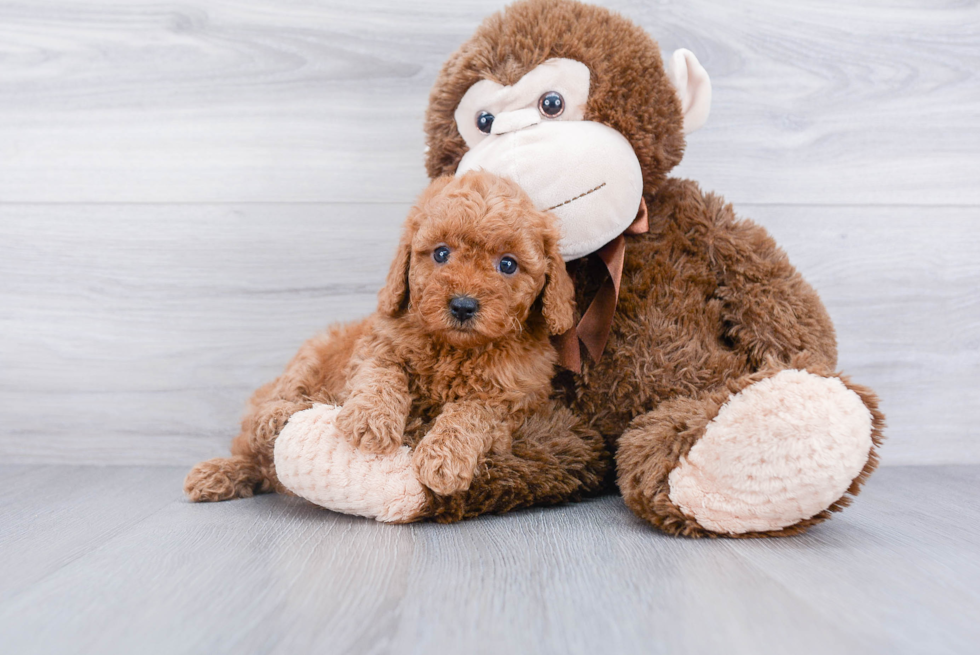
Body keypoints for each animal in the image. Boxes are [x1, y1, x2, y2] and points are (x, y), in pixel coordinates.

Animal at [334, 172, 576, 494]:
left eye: (508, 264)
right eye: (441, 253)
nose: (463, 306)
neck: (455, 349)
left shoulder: (513, 398)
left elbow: (470, 413)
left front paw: (444, 458)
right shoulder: (379, 344)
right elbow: (382, 373)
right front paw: (370, 419)